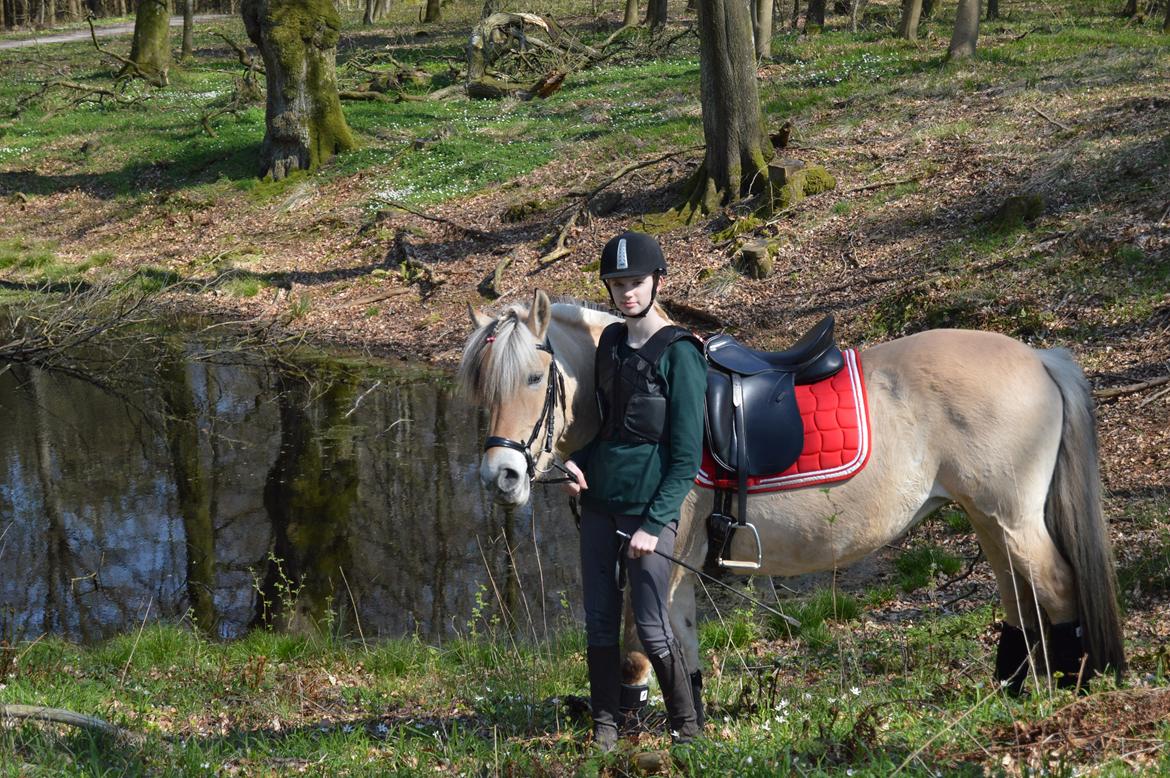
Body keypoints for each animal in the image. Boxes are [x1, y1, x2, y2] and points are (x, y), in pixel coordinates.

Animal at [453, 291, 1123, 692]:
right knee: (1018, 599)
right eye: (481, 388)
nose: (501, 476)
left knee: (1055, 588)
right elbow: (679, 642)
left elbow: (639, 648)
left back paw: (1072, 685)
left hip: (1011, 517)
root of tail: (1041, 357)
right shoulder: (677, 564)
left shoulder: (657, 555)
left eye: (534, 378)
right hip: (988, 518)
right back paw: (1013, 686)